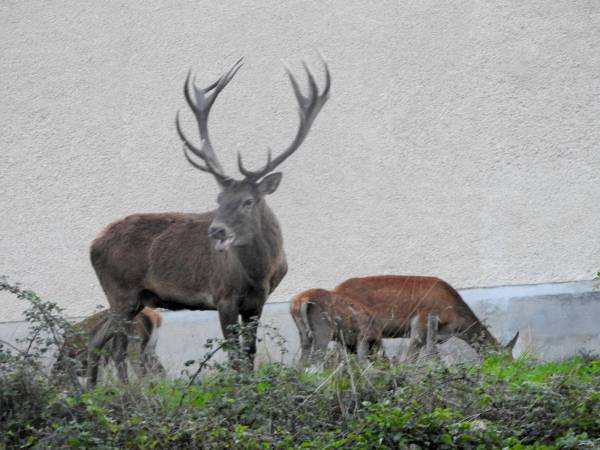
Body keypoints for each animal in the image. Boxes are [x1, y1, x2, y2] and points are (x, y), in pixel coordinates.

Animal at [87, 55, 330, 386]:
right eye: (219, 199)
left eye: (247, 201)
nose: (216, 230)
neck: (258, 271)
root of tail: (92, 246)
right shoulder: (223, 295)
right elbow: (233, 354)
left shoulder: (257, 301)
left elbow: (249, 353)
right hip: (120, 291)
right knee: (110, 345)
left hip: (135, 299)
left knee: (104, 342)